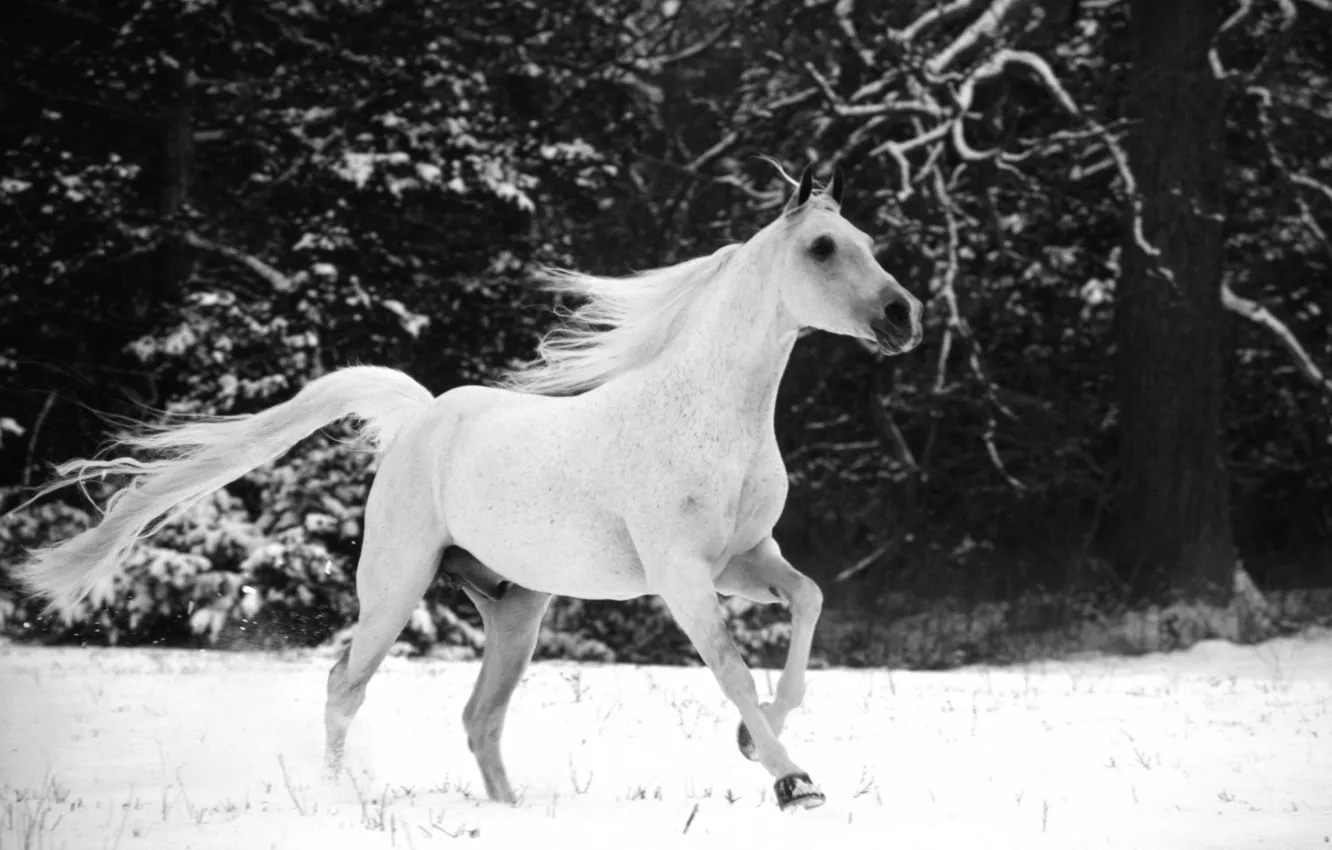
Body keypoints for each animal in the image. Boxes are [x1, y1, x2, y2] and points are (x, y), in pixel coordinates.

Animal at [15, 164, 923, 810]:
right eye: (822, 249)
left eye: (869, 240)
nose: (902, 316)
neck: (708, 415)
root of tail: (421, 416)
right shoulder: (681, 575)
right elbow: (730, 666)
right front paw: (792, 782)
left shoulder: (746, 558)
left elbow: (808, 603)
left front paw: (750, 741)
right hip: (395, 585)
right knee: (345, 686)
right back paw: (339, 799)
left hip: (516, 610)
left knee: (478, 718)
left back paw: (510, 812)